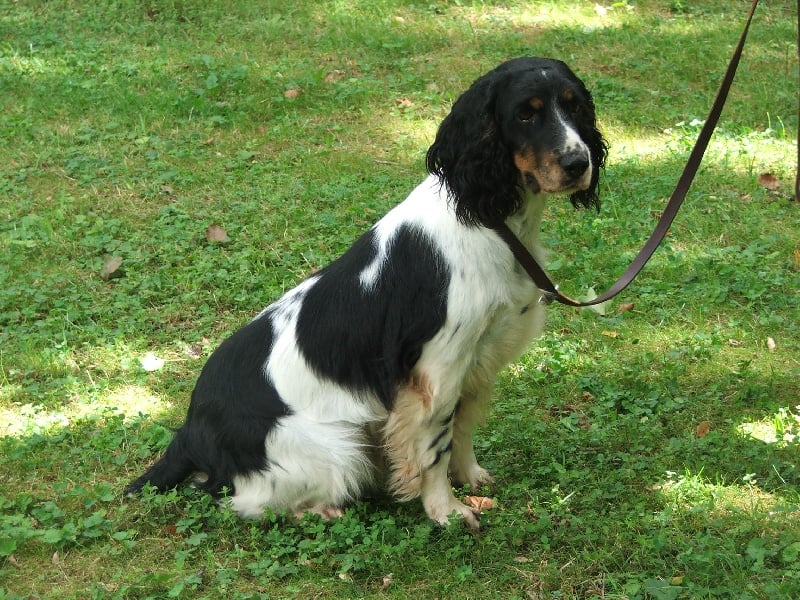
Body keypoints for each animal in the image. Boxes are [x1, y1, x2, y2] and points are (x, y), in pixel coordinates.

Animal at [126, 55, 608, 524]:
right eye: (526, 114)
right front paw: (445, 511)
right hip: (336, 446)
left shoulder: (479, 358)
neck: (490, 217)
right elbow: (434, 447)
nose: (578, 163)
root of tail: (191, 428)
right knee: (243, 501)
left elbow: (463, 428)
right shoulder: (437, 369)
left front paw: (470, 478)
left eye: (575, 107)